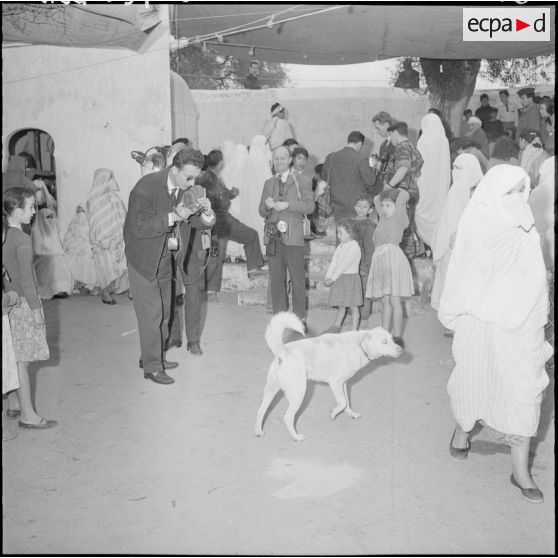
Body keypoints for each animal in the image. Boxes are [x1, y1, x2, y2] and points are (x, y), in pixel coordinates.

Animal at [255, 312, 402, 441]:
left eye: (392, 339)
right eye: (384, 342)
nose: (400, 349)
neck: (359, 345)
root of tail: (283, 351)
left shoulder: (344, 384)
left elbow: (347, 402)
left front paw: (351, 414)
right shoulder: (335, 383)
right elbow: (342, 402)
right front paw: (333, 413)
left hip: (271, 391)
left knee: (261, 411)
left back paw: (258, 431)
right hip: (299, 393)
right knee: (287, 417)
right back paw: (296, 437)